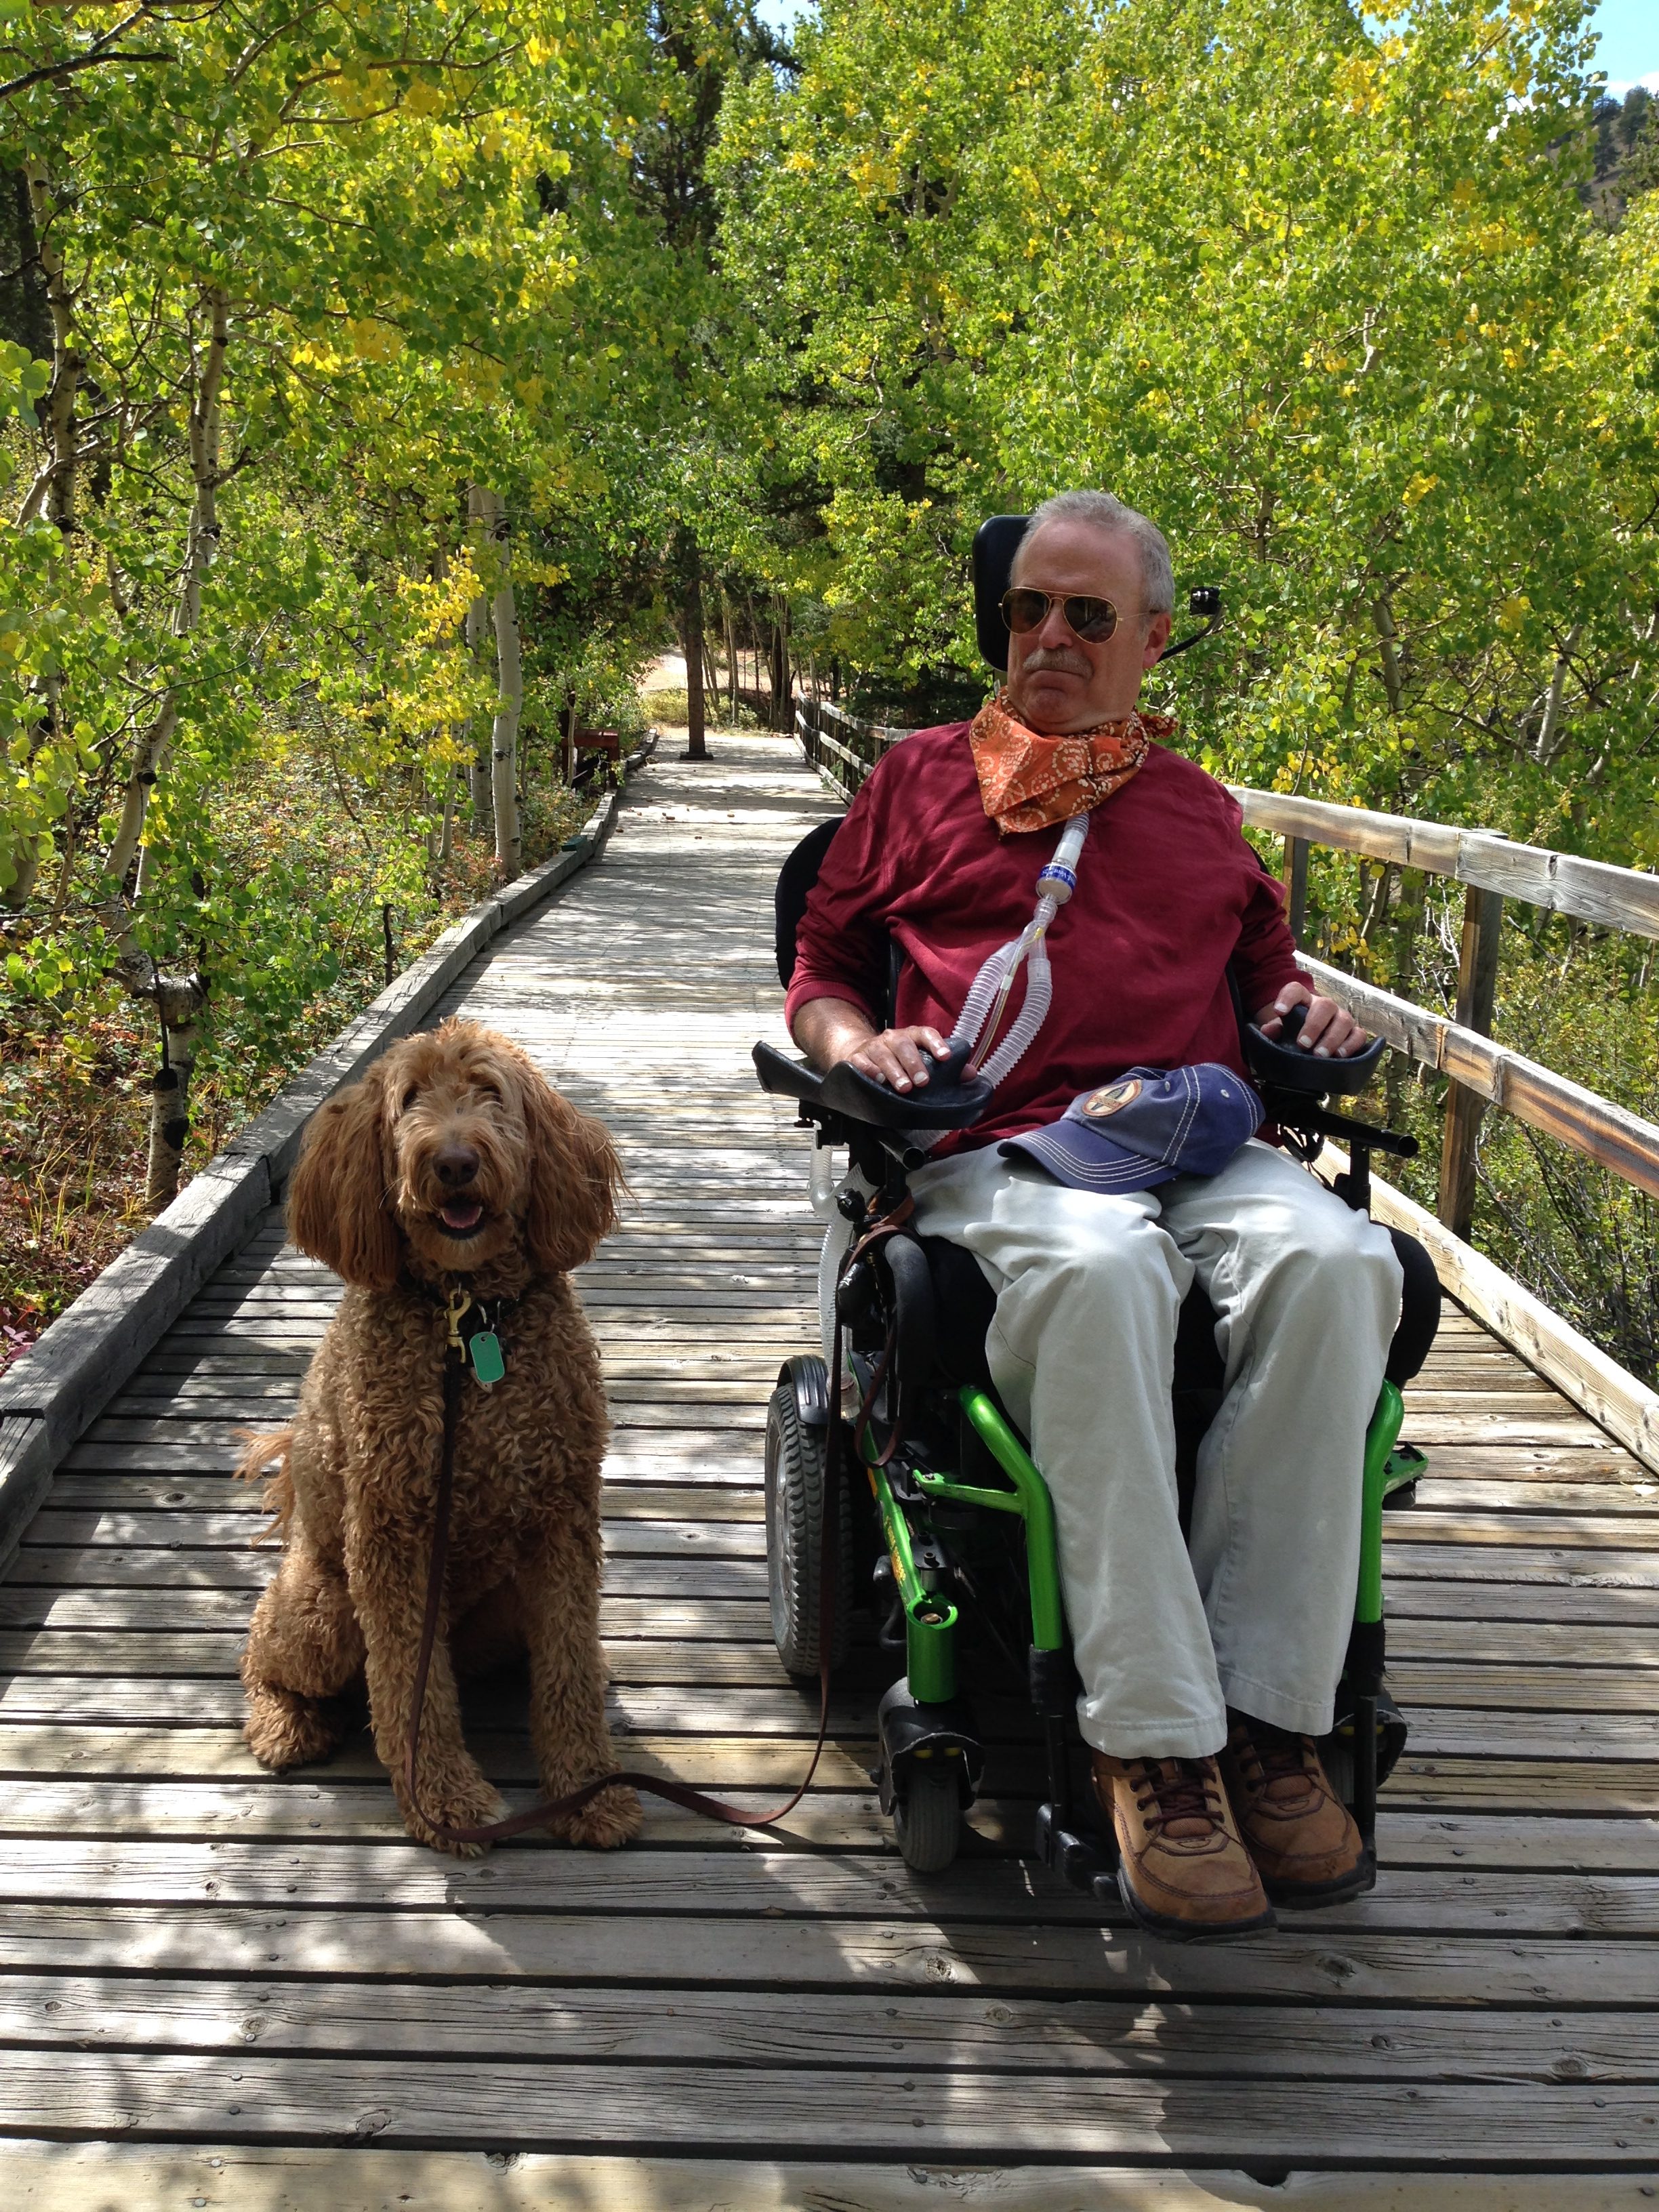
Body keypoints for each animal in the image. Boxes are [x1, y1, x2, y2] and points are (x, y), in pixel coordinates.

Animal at [237, 1012, 641, 1849]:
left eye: (489, 1092)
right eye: (409, 1100)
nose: (454, 1161)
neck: (468, 1318)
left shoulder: (562, 1521)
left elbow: (568, 1668)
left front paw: (590, 1791)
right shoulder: (391, 1536)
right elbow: (408, 1687)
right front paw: (444, 1799)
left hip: (502, 1604)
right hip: (321, 1609)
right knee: (263, 1652)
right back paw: (286, 1725)